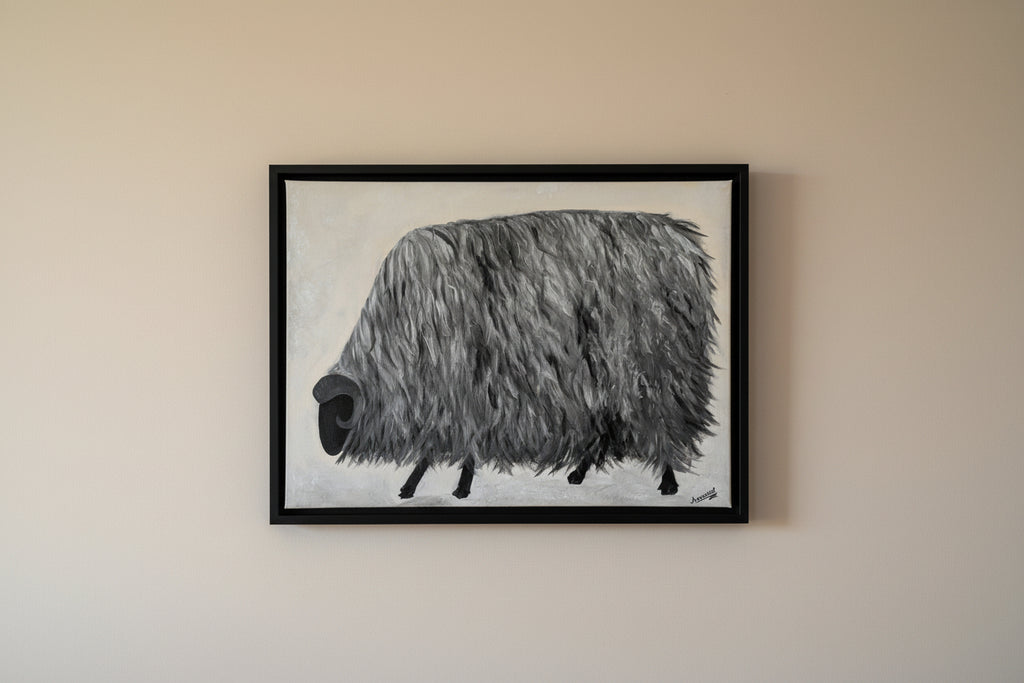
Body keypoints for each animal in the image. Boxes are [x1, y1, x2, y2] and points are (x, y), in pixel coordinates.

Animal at [312, 209, 717, 499]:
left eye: (336, 411)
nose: (326, 449)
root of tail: (683, 243)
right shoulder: (454, 392)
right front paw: (422, 482)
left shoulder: (460, 384)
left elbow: (453, 438)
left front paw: (451, 484)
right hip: (605, 374)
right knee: (606, 425)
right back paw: (578, 473)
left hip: (654, 367)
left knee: (661, 418)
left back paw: (668, 481)